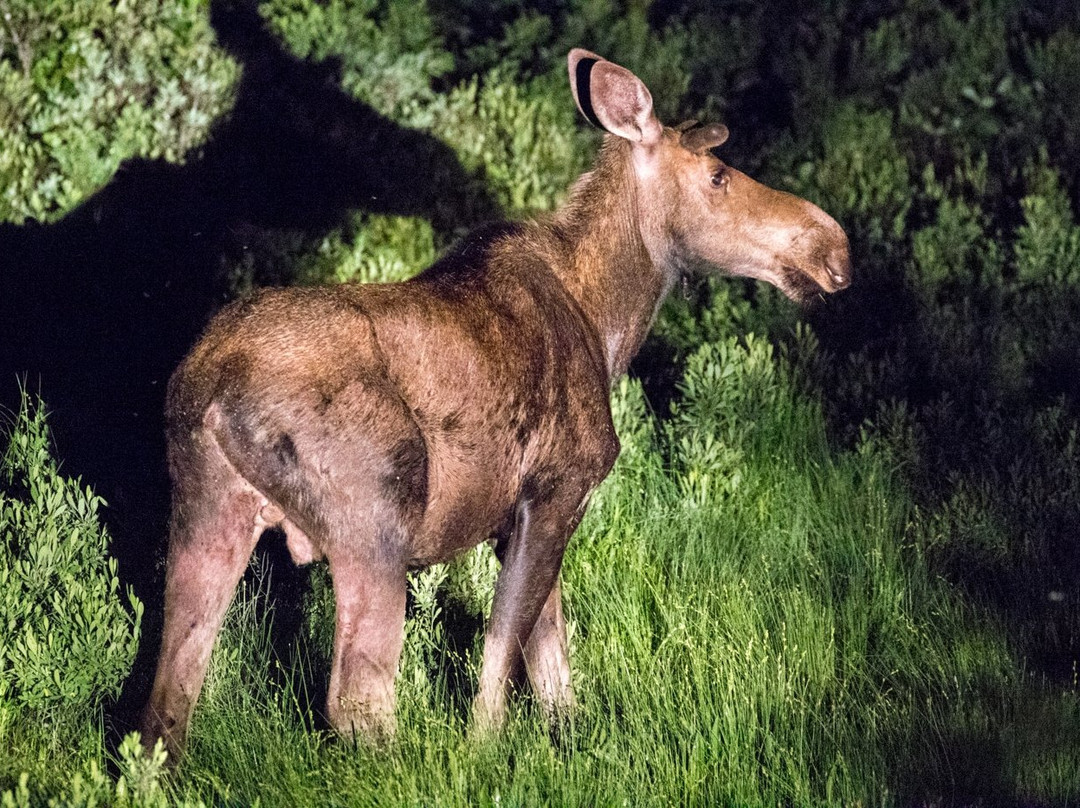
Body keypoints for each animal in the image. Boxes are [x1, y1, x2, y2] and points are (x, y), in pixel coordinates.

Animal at [141, 48, 850, 761]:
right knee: (357, 699)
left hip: (209, 507)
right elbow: (505, 649)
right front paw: (485, 750)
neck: (610, 322)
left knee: (168, 696)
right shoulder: (556, 488)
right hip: (379, 513)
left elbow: (550, 655)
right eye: (718, 175)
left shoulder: (528, 514)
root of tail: (212, 389)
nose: (835, 246)